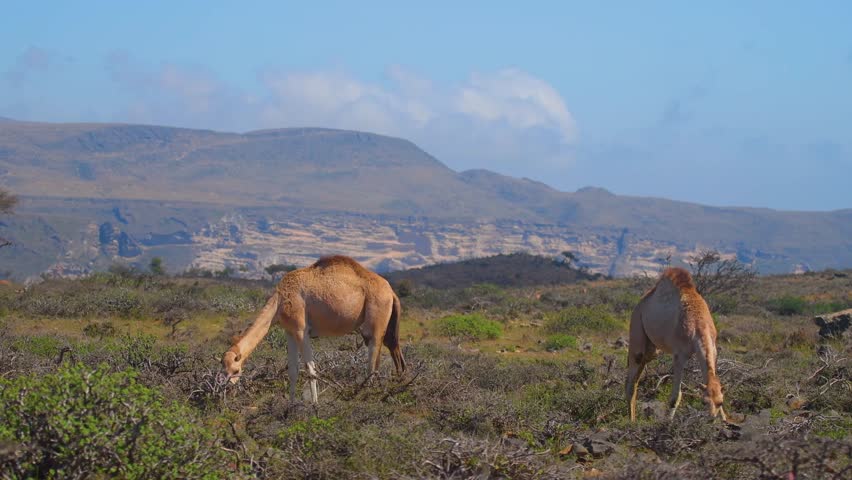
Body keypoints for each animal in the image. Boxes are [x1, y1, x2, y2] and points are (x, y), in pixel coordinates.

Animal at [221, 255, 406, 403]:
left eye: (236, 370)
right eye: (223, 371)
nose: (227, 389)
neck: (279, 301)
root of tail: (391, 293)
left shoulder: (301, 330)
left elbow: (310, 368)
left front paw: (314, 404)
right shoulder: (289, 332)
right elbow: (293, 370)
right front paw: (291, 405)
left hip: (375, 323)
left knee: (373, 363)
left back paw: (367, 396)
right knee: (394, 352)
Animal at [626, 267, 727, 422]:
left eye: (720, 402)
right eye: (703, 402)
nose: (711, 418)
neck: (698, 325)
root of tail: (642, 301)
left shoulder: (714, 350)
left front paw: (724, 419)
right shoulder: (680, 355)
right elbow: (676, 396)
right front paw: (668, 422)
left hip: (652, 350)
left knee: (638, 374)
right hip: (637, 326)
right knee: (632, 375)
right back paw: (631, 421)